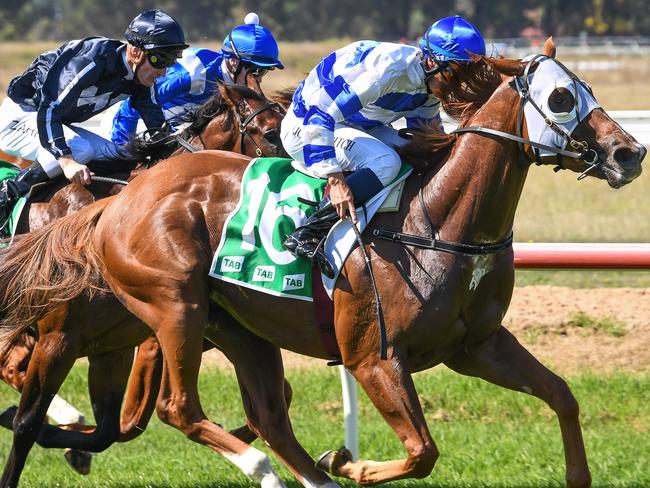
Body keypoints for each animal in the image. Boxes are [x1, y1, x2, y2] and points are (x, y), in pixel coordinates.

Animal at [0, 41, 644, 488]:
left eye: (587, 88)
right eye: (562, 98)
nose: (629, 152)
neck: (439, 224)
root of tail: (119, 199)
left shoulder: (476, 346)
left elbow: (562, 396)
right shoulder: (372, 357)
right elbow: (422, 451)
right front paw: (349, 463)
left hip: (231, 327)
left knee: (267, 413)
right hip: (171, 309)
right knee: (176, 407)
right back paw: (264, 468)